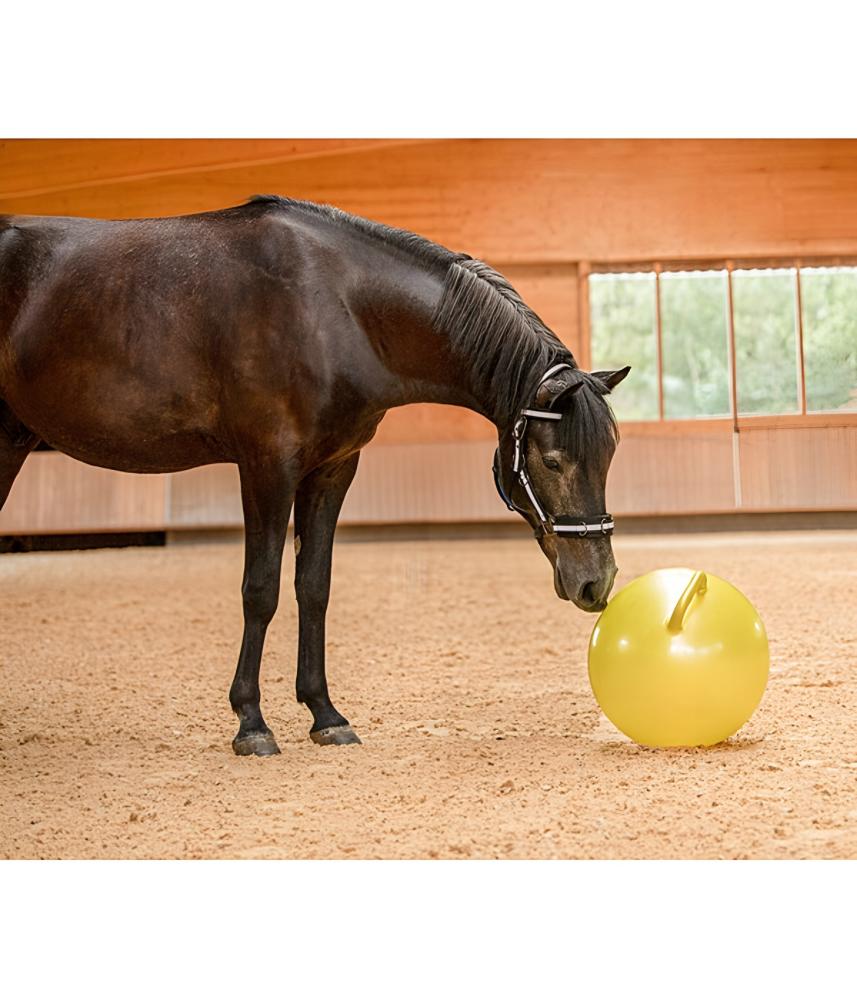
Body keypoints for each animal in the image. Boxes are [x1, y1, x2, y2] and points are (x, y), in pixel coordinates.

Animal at [0, 196, 630, 755]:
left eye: (608, 459)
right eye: (552, 461)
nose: (596, 585)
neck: (335, 306)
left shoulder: (332, 469)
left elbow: (314, 586)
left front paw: (325, 715)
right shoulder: (267, 467)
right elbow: (261, 589)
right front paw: (251, 723)